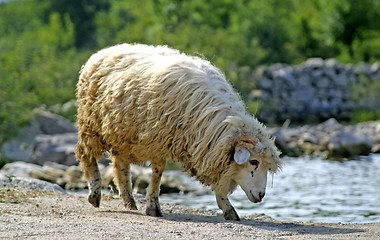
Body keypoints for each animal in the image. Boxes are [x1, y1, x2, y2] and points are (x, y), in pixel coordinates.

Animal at [74, 42, 282, 219]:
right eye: (254, 161)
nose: (261, 195)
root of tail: (107, 49)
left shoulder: (208, 149)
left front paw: (227, 208)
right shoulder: (158, 140)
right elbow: (157, 174)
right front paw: (153, 206)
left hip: (121, 132)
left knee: (120, 166)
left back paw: (129, 200)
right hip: (91, 123)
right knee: (86, 155)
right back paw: (95, 194)